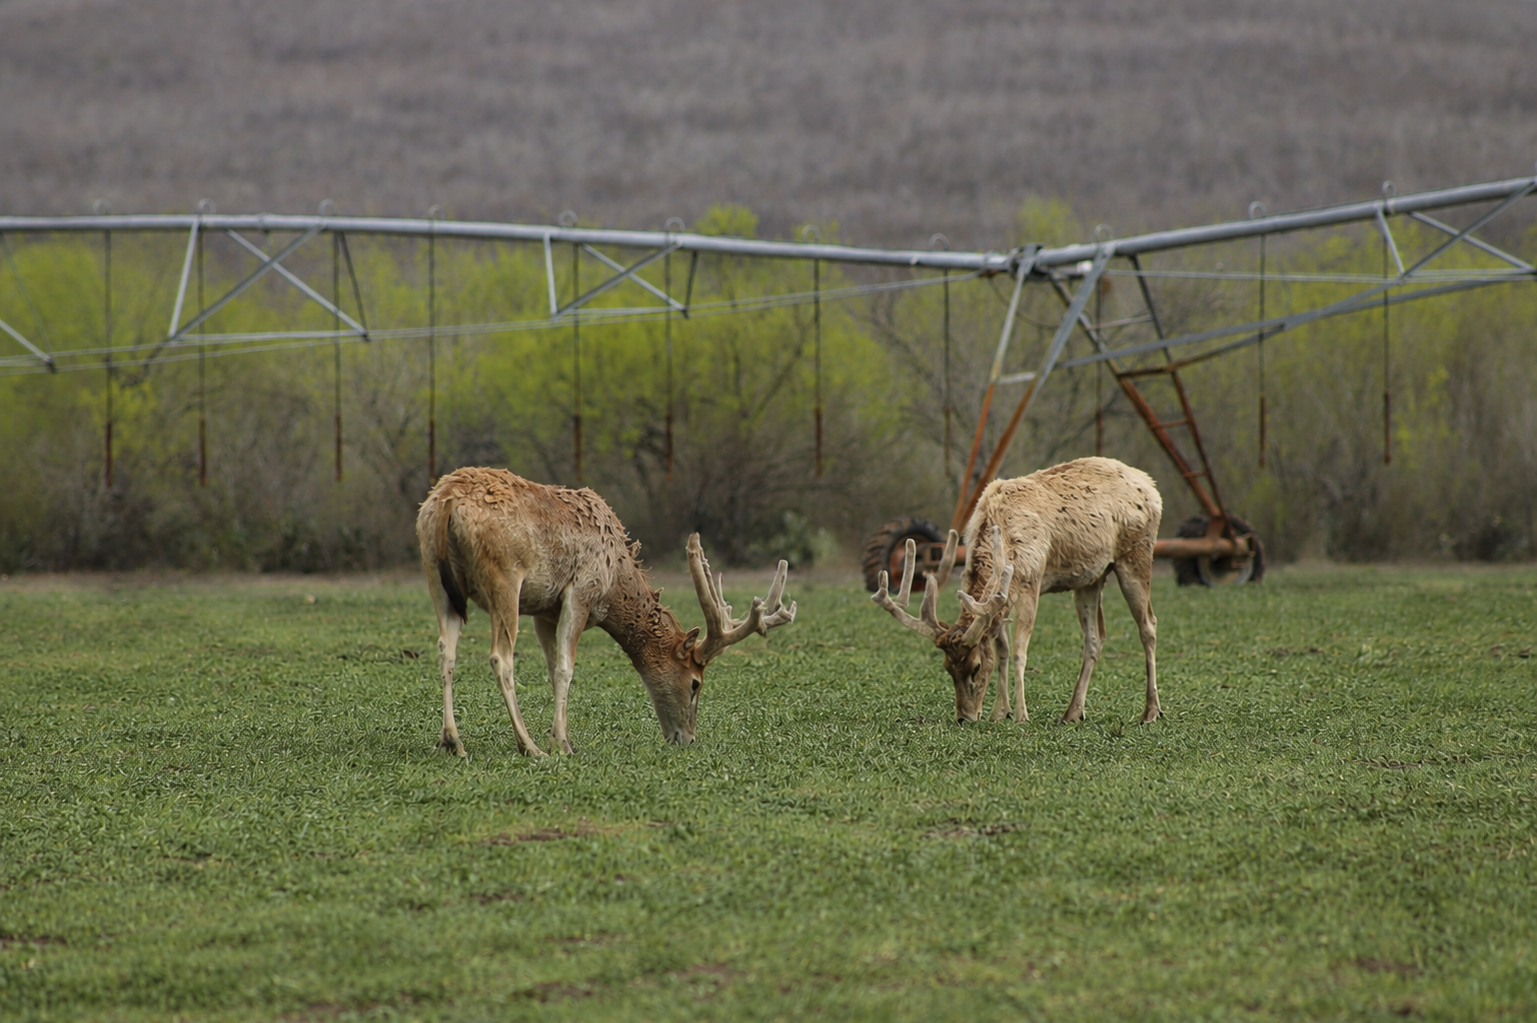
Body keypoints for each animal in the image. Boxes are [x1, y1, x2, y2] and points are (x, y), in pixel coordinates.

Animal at [416, 467, 796, 756]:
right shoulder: (582, 590)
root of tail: (446, 502)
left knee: (445, 650)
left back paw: (452, 741)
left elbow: (551, 667)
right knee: (500, 657)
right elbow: (566, 668)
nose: (686, 739)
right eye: (695, 684)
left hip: (436, 576)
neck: (616, 585)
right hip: (505, 577)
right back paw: (529, 746)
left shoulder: (543, 609)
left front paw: (560, 737)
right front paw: (561, 744)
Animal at [873, 456, 1162, 726]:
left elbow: (1020, 651)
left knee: (1148, 625)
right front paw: (1000, 713)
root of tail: (1152, 487)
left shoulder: (1030, 582)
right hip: (1091, 579)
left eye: (976, 667)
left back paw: (1151, 712)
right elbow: (1002, 649)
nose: (965, 717)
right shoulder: (1002, 596)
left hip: (1136, 555)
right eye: (947, 668)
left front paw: (1022, 715)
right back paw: (1072, 713)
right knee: (1094, 638)